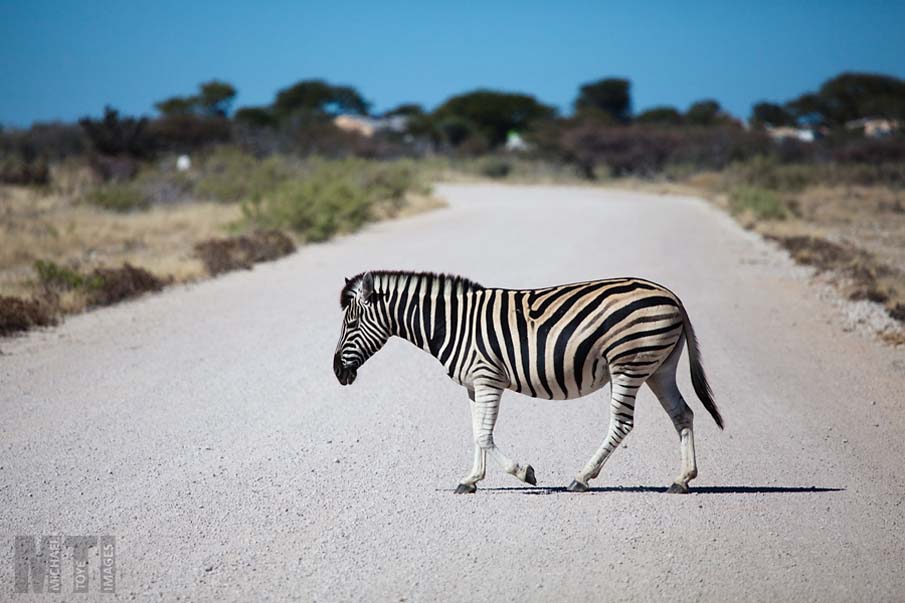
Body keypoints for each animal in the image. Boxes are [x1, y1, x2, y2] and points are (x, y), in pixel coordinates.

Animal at [332, 272, 720, 494]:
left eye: (350, 324)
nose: (337, 372)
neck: (451, 324)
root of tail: (672, 296)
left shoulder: (487, 378)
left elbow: (484, 435)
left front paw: (523, 472)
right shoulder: (474, 384)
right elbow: (476, 433)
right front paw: (470, 480)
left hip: (628, 363)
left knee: (622, 423)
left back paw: (581, 478)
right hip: (658, 367)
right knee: (682, 414)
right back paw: (682, 480)